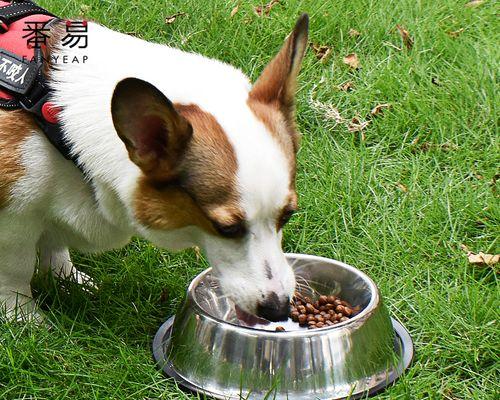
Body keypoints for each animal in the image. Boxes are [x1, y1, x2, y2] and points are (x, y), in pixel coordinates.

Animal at [0, 9, 308, 324]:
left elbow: (54, 247)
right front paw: (22, 317)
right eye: (227, 228)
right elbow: (17, 269)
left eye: (288, 215)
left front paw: (65, 279)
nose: (278, 309)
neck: (54, 115)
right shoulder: (16, 217)